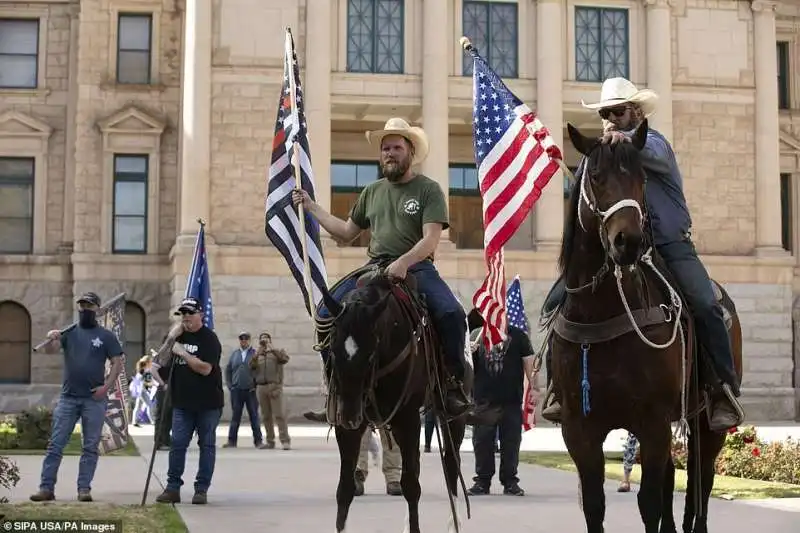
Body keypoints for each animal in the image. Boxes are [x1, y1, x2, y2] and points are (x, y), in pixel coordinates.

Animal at [316, 268, 472, 532]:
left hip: (452, 415)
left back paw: (454, 523)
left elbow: (411, 485)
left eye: (370, 355)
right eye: (333, 352)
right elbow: (344, 488)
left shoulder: (407, 418)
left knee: (451, 463)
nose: (349, 416)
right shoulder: (347, 428)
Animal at [552, 120, 744, 532]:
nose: (628, 242)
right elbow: (594, 505)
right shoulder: (579, 430)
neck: (602, 311)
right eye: (596, 176)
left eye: (642, 178)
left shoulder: (652, 422)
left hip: (708, 423)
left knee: (702, 480)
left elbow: (650, 503)